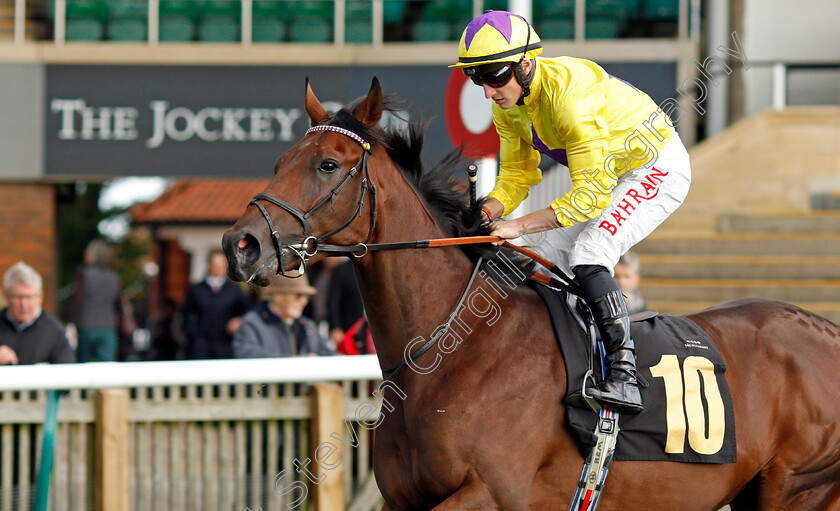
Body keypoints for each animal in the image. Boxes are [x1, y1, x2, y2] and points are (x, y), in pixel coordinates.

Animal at [220, 78, 840, 510]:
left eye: (328, 165)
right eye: (279, 162)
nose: (240, 244)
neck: (452, 350)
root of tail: (825, 328)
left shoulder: (493, 493)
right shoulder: (405, 499)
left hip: (798, 487)